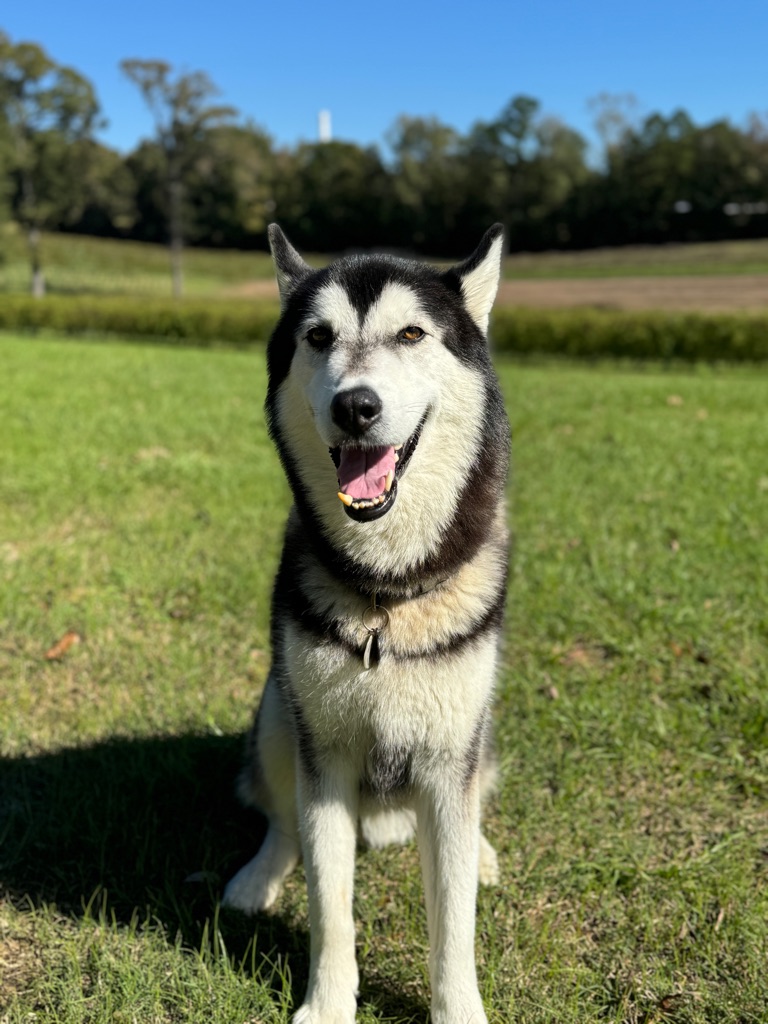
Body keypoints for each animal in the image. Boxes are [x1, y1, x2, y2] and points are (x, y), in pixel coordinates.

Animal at [222, 223, 510, 1024]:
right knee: (279, 817)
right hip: (279, 709)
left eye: (412, 333)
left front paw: (458, 1009)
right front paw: (327, 1005)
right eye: (318, 337)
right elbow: (331, 904)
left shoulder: (449, 757)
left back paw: (484, 852)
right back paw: (256, 876)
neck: (387, 589)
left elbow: (453, 919)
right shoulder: (324, 756)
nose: (356, 406)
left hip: (479, 730)